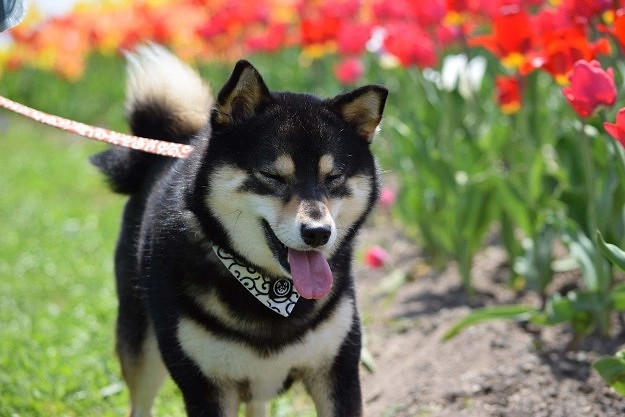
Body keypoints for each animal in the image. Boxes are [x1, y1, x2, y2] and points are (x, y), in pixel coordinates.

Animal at [91, 45, 388, 416]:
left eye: (333, 177)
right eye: (272, 175)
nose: (318, 232)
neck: (271, 291)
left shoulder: (337, 371)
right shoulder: (206, 387)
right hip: (141, 344)